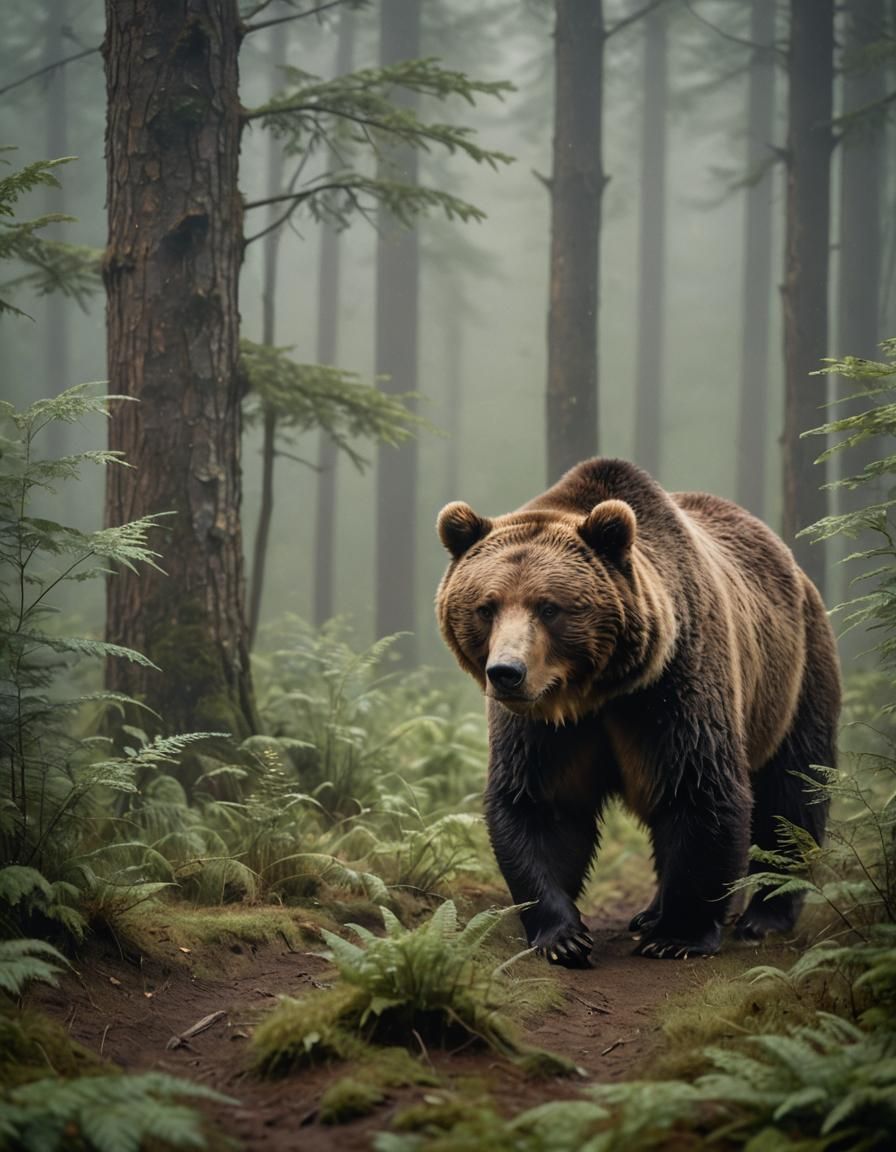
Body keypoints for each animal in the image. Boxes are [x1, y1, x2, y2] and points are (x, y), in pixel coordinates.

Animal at [435, 458, 841, 966]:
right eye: (486, 607)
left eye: (549, 607)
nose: (506, 672)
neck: (595, 693)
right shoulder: (545, 727)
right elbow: (540, 803)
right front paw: (563, 936)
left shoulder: (671, 688)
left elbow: (700, 788)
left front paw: (677, 935)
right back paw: (650, 913)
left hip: (797, 677)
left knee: (791, 792)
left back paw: (763, 916)